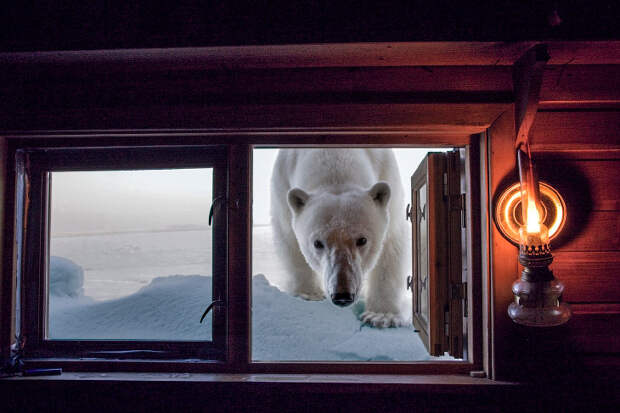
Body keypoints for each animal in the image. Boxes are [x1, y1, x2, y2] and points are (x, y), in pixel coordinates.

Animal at [272, 148, 412, 326]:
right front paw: (309, 294)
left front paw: (381, 316)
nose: (342, 295)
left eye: (362, 240)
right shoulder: (282, 183)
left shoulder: (387, 173)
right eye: (317, 243)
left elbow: (391, 244)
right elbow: (289, 239)